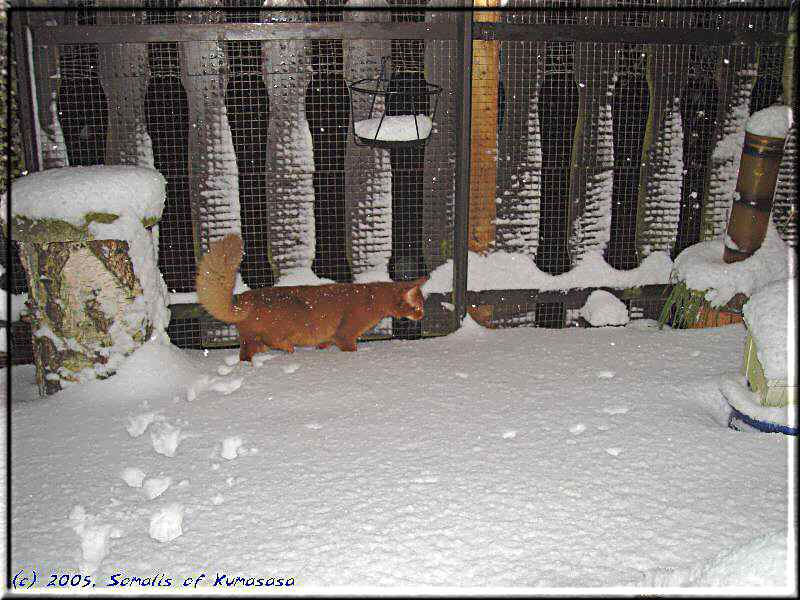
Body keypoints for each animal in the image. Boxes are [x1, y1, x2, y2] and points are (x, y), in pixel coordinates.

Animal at [196, 234, 428, 360]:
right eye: (417, 307)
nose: (422, 316)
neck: (372, 297)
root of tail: (245, 296)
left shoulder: (328, 337)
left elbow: (323, 344)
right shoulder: (344, 335)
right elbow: (349, 346)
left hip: (249, 340)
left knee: (246, 354)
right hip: (282, 326)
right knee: (270, 340)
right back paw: (287, 348)